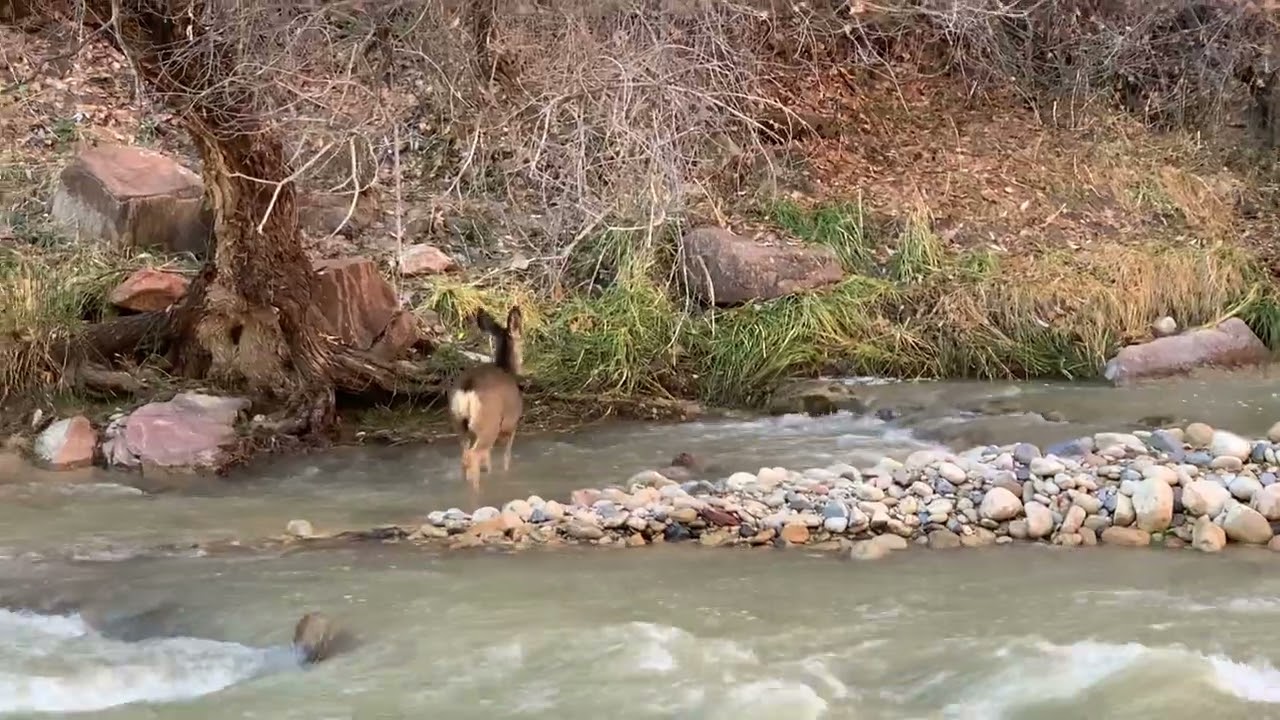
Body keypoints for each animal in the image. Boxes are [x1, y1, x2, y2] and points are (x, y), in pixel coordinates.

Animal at [447, 306, 524, 492]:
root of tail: (468, 387)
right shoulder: (510, 426)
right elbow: (506, 457)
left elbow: (488, 461)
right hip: (488, 424)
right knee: (473, 456)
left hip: (459, 424)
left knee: (465, 456)